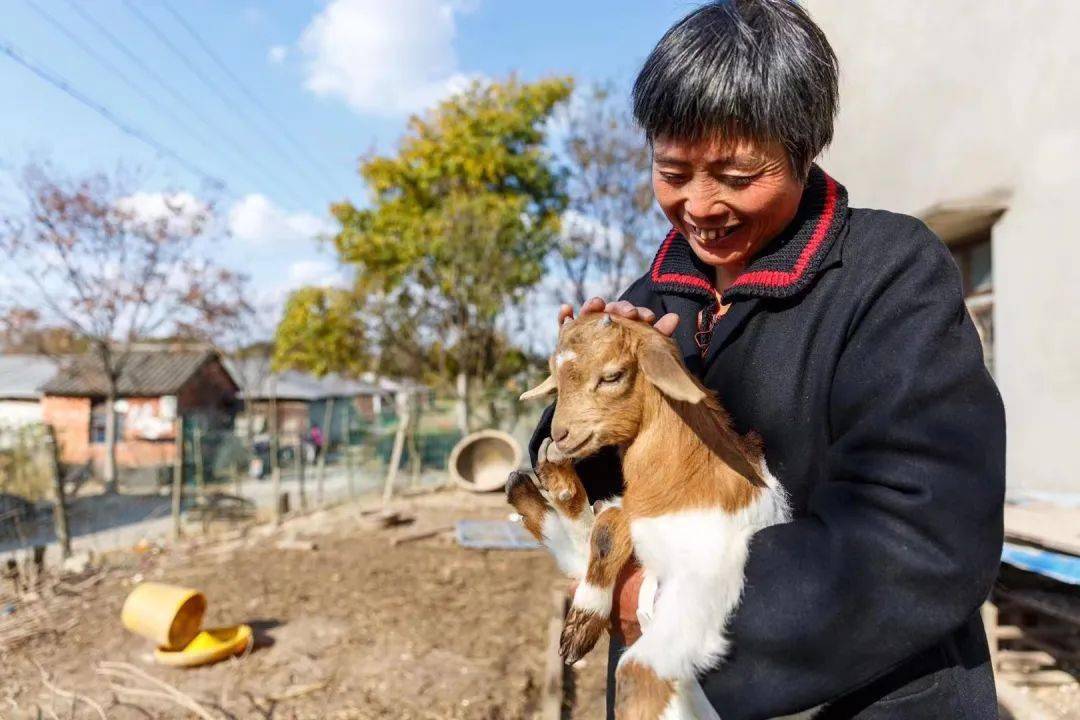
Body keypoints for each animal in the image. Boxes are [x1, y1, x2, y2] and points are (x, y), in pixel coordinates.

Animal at [505, 313, 794, 720]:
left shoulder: (706, 571)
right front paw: (582, 623)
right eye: (556, 380)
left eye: (612, 376)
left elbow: (635, 672)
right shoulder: (630, 511)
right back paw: (537, 479)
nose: (560, 434)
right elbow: (605, 530)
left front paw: (582, 622)